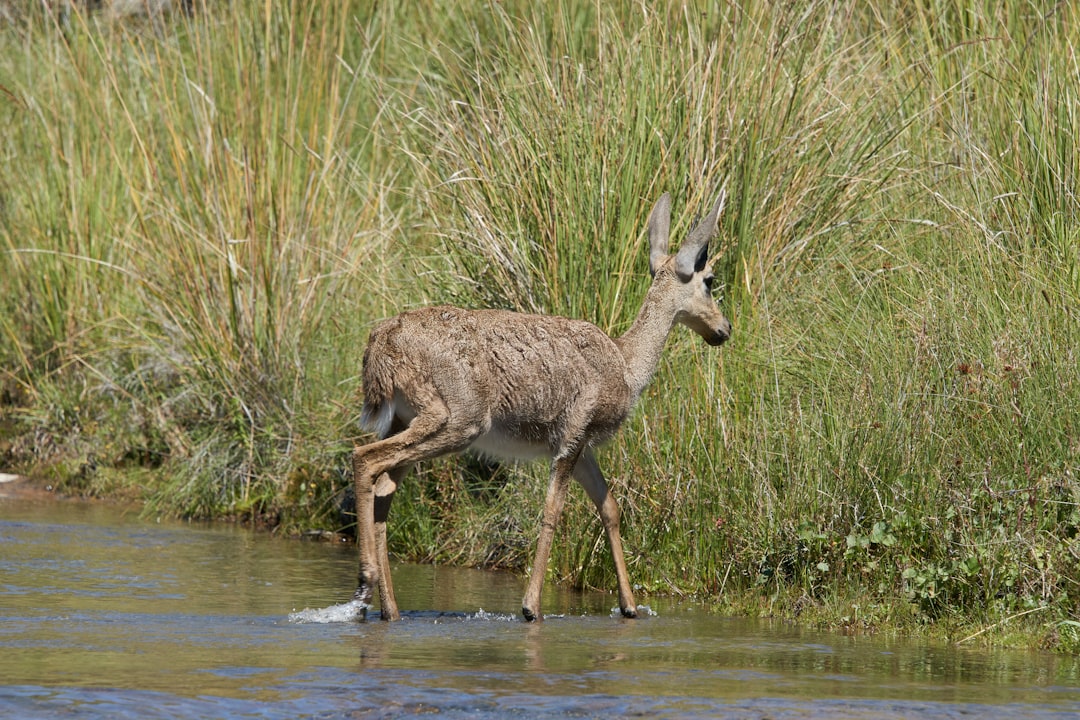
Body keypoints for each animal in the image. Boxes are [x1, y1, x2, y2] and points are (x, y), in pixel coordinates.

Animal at [349, 188, 730, 621]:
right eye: (710, 280)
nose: (724, 329)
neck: (627, 365)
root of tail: (379, 348)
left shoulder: (582, 446)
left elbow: (610, 508)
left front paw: (629, 606)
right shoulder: (573, 432)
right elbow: (552, 512)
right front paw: (531, 607)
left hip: (406, 418)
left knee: (384, 487)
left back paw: (388, 609)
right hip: (457, 417)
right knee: (366, 459)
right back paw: (365, 577)